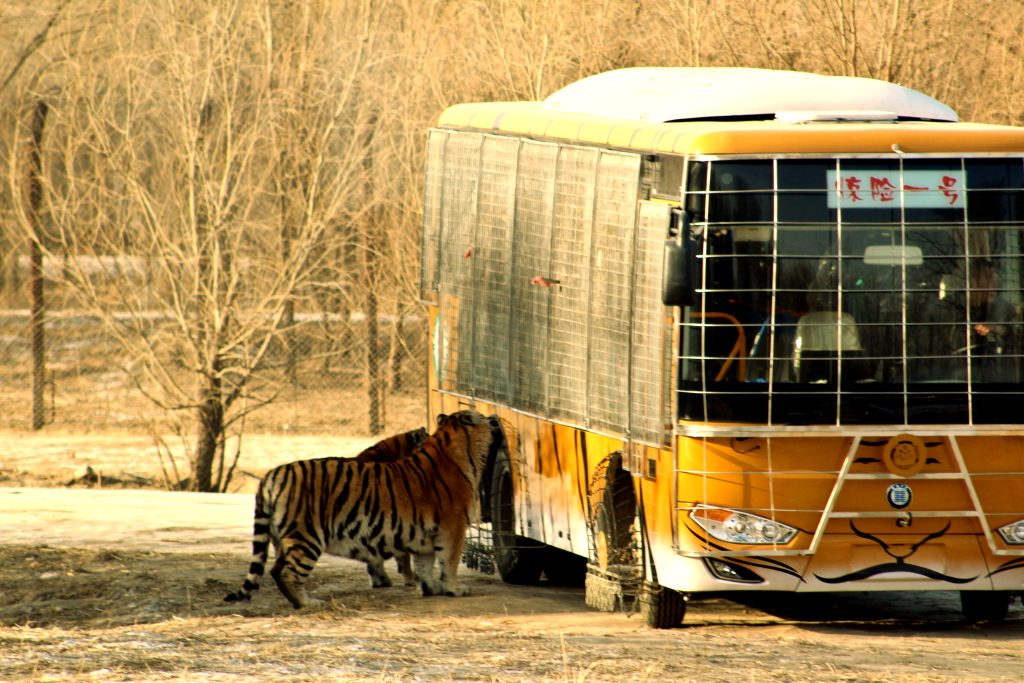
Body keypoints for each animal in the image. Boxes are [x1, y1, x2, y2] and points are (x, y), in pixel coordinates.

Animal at [225, 409, 499, 610]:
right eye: (482, 415)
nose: (494, 417)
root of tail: (271, 474)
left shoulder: (426, 536)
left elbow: (425, 565)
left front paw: (431, 588)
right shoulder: (453, 527)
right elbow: (448, 561)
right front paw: (455, 589)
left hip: (284, 538)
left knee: (275, 570)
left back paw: (298, 602)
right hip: (306, 538)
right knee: (289, 573)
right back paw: (308, 603)